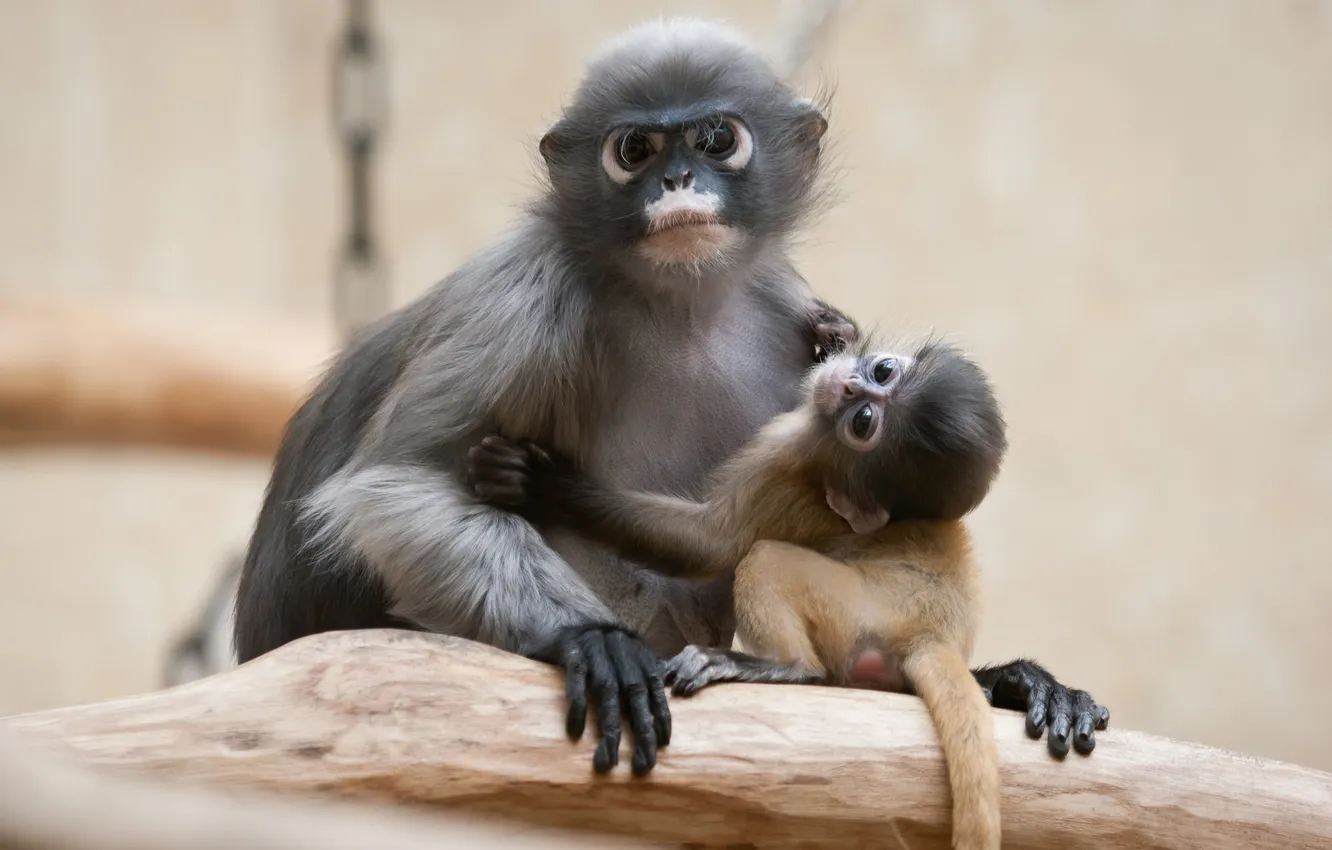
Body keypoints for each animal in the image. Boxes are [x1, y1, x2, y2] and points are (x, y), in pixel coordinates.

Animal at [233, 17, 1106, 778]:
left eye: (717, 139)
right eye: (636, 149)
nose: (679, 180)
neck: (680, 307)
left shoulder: (784, 312)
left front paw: (1014, 678)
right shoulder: (525, 298)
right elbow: (395, 487)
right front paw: (593, 638)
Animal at [467, 338, 1109, 847]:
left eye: (863, 421)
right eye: (882, 372)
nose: (847, 381)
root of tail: (928, 633)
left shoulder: (789, 454)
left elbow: (711, 545)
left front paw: (543, 485)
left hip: (855, 607)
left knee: (765, 563)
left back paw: (782, 666)